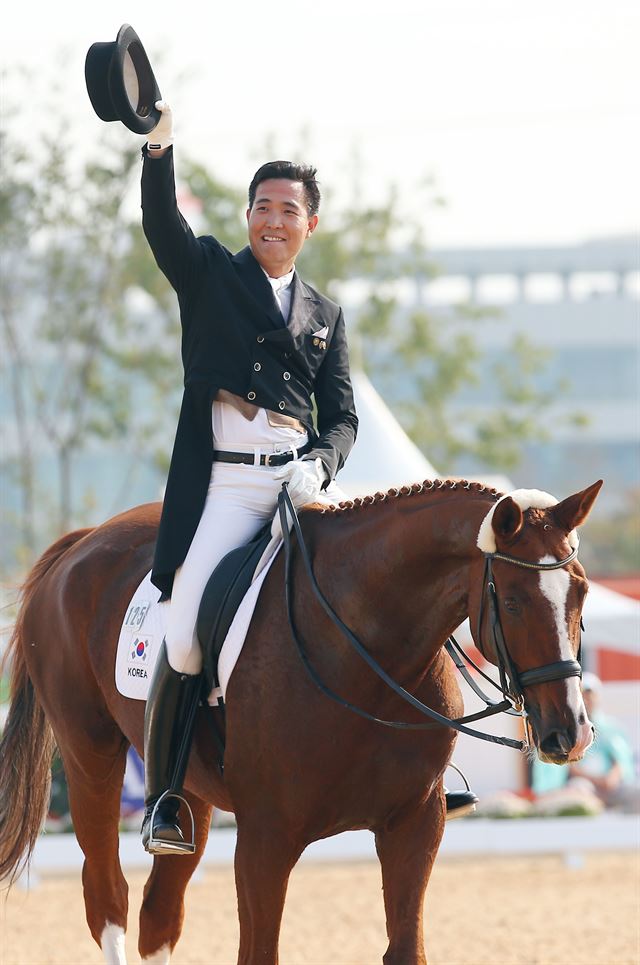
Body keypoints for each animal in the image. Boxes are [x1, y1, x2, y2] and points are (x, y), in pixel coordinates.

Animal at [0, 478, 600, 960]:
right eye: (515, 600)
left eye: (581, 592)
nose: (568, 734)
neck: (363, 647)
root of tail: (82, 542)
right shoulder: (265, 838)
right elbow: (258, 952)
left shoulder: (415, 823)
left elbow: (406, 949)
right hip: (89, 755)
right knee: (109, 899)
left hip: (187, 791)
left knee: (159, 914)